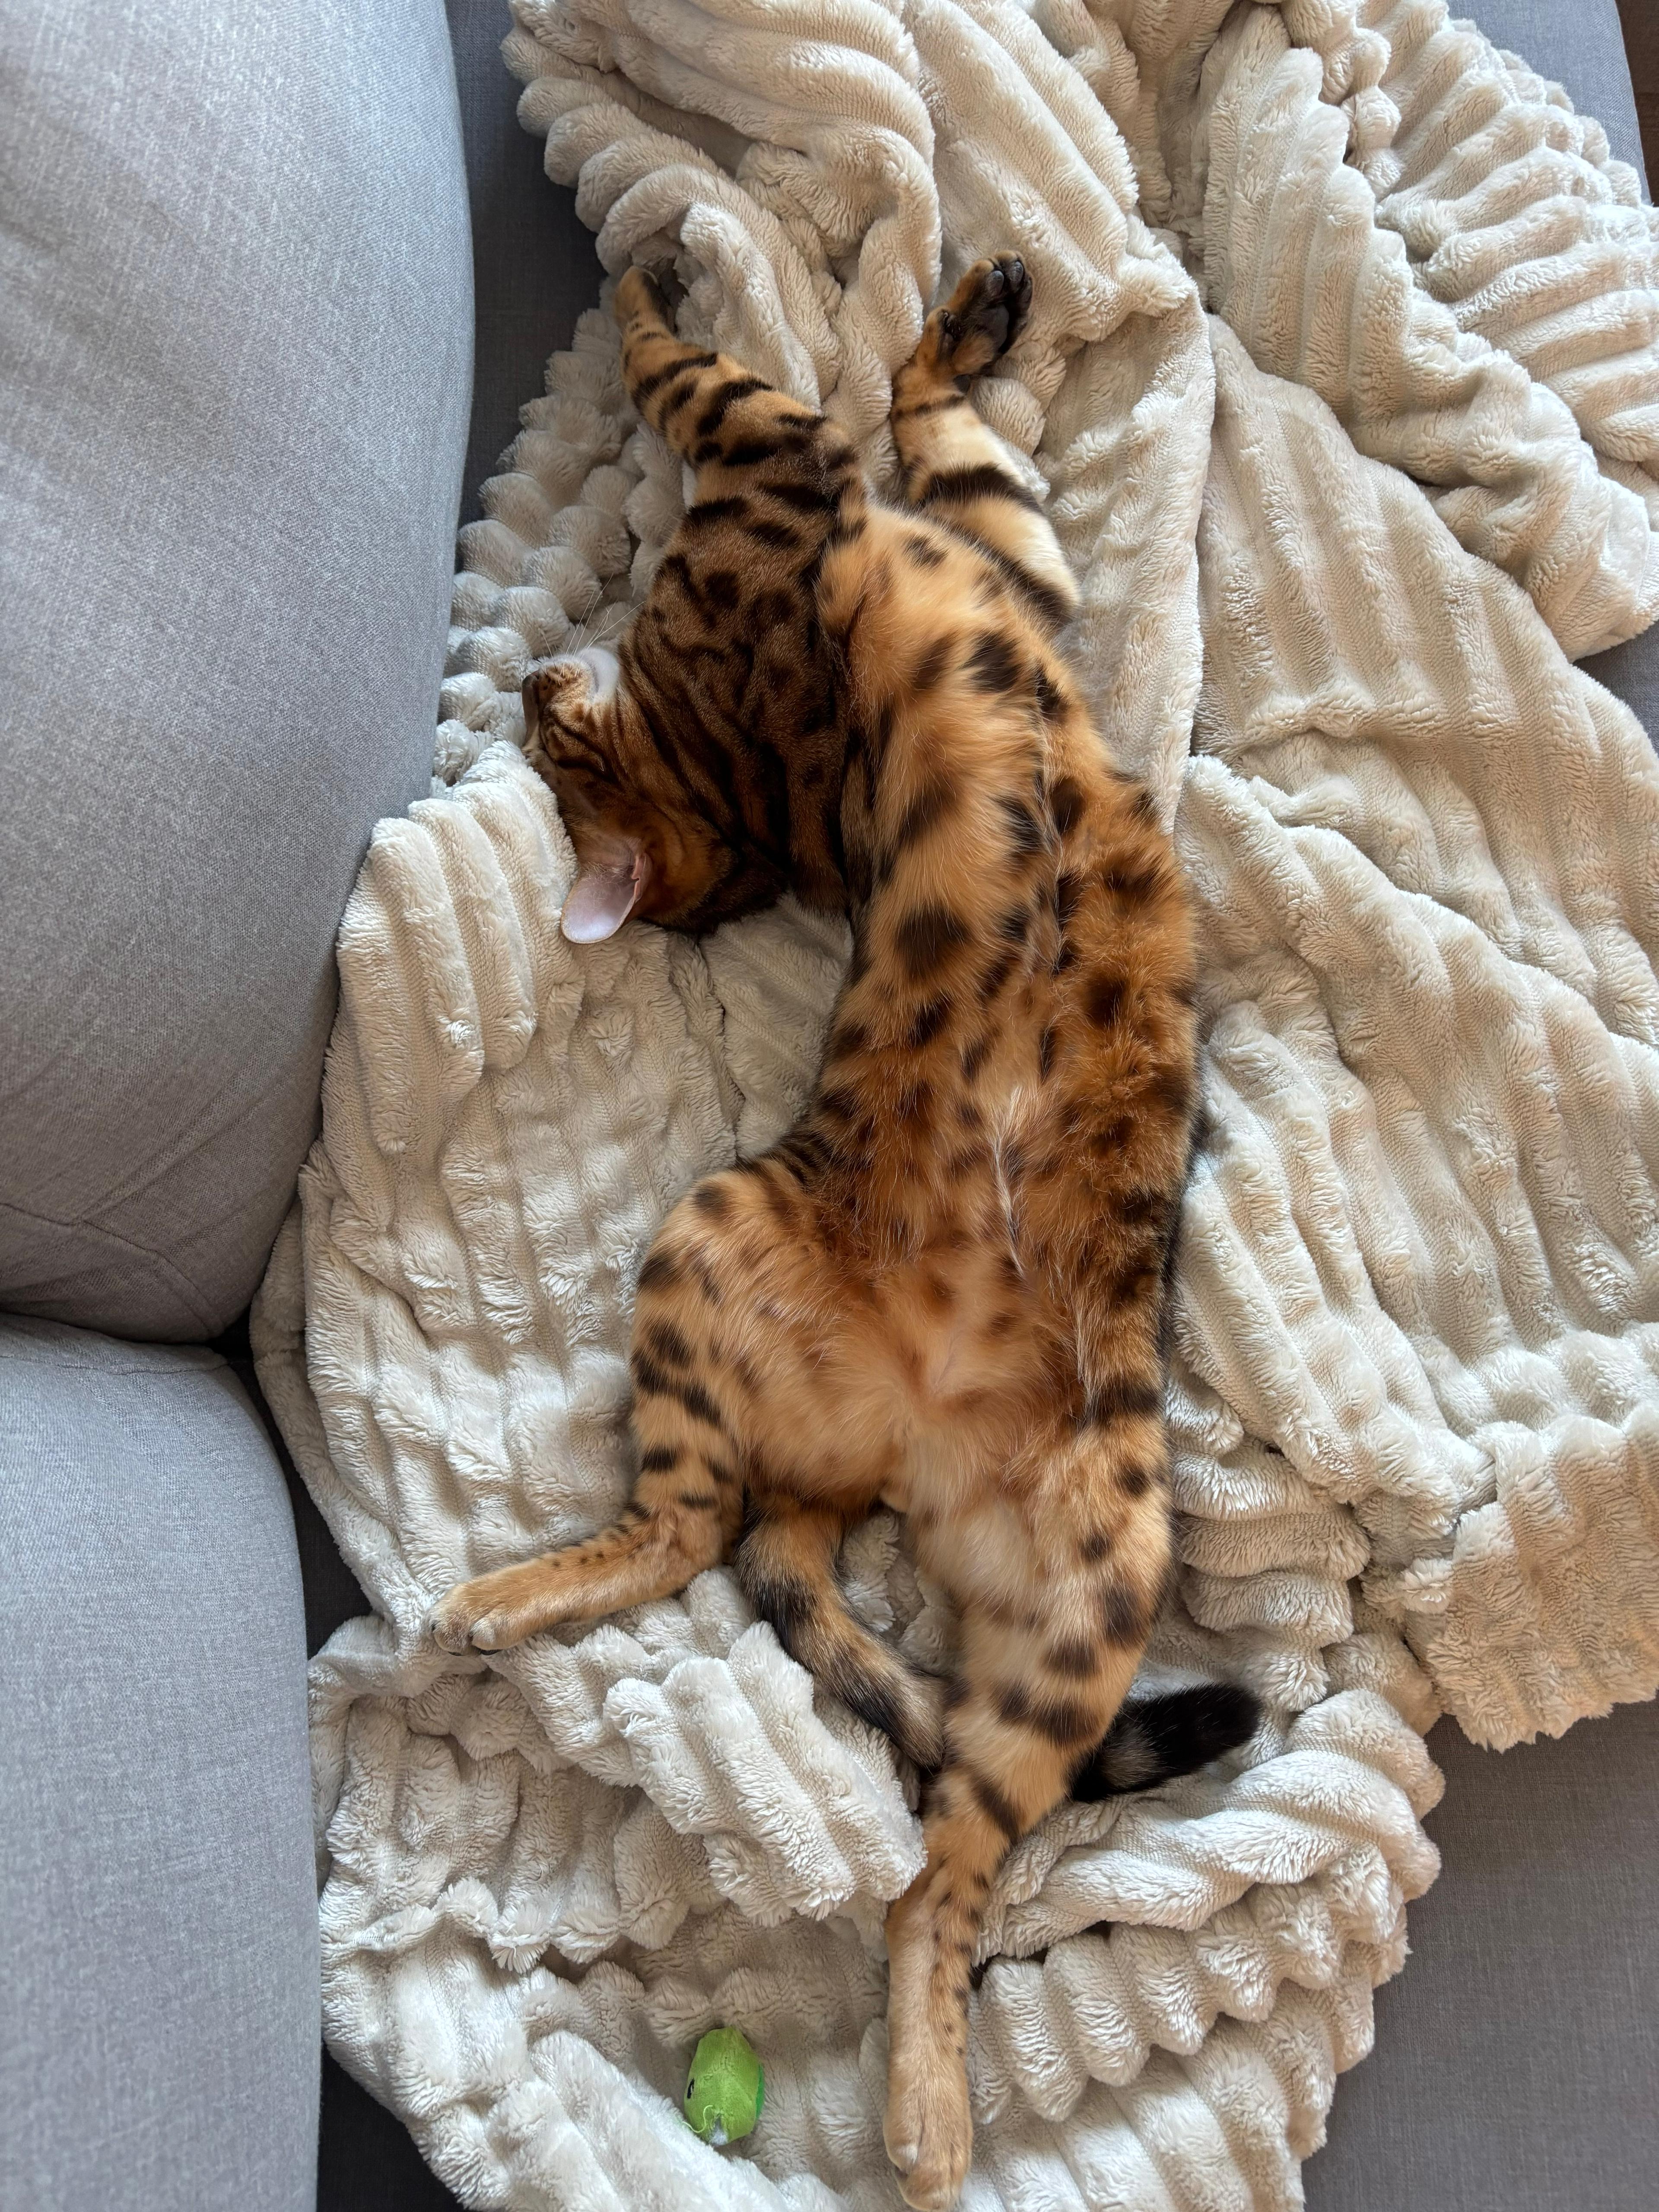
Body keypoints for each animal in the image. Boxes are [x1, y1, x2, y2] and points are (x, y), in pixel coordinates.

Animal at [431, 255, 1260, 2210]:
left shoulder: (908, 527)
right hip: (717, 1250)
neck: (751, 804)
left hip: (1085, 1589)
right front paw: (671, 256)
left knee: (931, 1845)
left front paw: (968, 303)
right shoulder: (853, 496)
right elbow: (787, 389)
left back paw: (933, 2101)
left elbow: (882, 411)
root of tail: (876, 1462)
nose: (529, 679)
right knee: (710, 1564)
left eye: (553, 753)